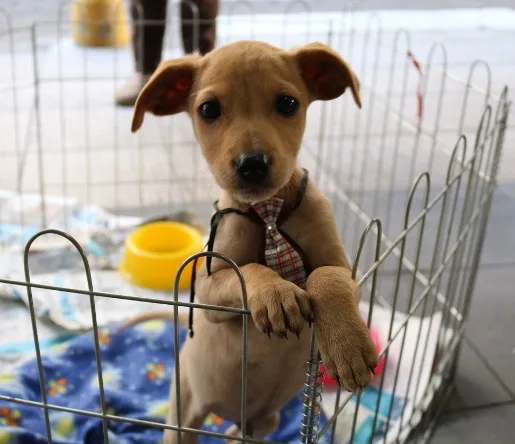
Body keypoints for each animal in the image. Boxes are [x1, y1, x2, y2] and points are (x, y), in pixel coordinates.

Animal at [129, 40, 378, 442]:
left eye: (288, 103)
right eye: (208, 109)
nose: (252, 164)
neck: (268, 213)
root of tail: (232, 415)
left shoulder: (343, 266)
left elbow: (326, 278)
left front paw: (348, 347)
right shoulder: (208, 290)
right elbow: (247, 269)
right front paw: (275, 293)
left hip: (264, 422)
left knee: (240, 434)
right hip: (184, 412)